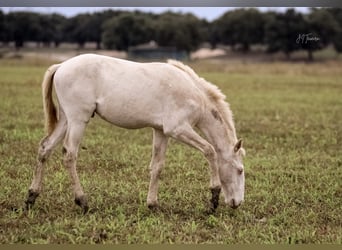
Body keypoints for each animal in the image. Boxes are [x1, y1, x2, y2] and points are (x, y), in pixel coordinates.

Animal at [26, 53, 246, 214]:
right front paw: (214, 198)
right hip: (78, 120)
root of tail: (61, 66)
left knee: (45, 148)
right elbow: (210, 151)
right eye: (240, 170)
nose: (237, 203)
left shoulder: (161, 132)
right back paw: (82, 201)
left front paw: (153, 204)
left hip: (66, 120)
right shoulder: (178, 129)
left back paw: (31, 197)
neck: (193, 94)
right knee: (69, 155)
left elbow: (157, 167)